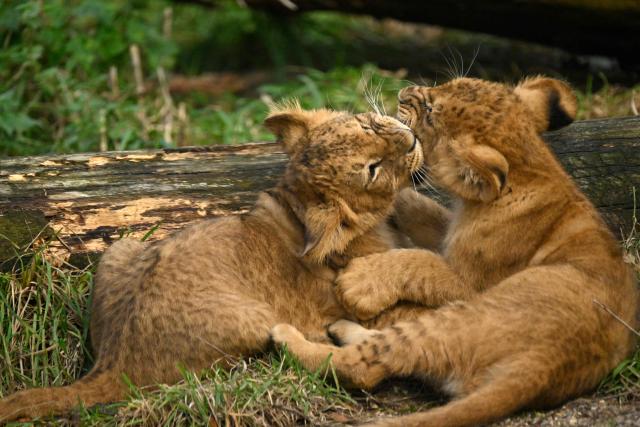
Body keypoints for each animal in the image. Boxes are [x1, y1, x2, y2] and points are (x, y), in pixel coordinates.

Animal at [0, 107, 424, 422]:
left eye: (369, 125)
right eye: (372, 168)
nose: (412, 138)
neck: (295, 202)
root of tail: (112, 362)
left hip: (122, 248)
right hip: (255, 319)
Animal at [271, 77, 639, 427]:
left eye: (431, 111)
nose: (404, 93)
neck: (534, 169)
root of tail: (543, 367)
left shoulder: (471, 283)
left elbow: (420, 261)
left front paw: (358, 281)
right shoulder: (451, 230)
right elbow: (427, 213)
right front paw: (387, 202)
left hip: (464, 313)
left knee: (365, 366)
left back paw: (286, 336)